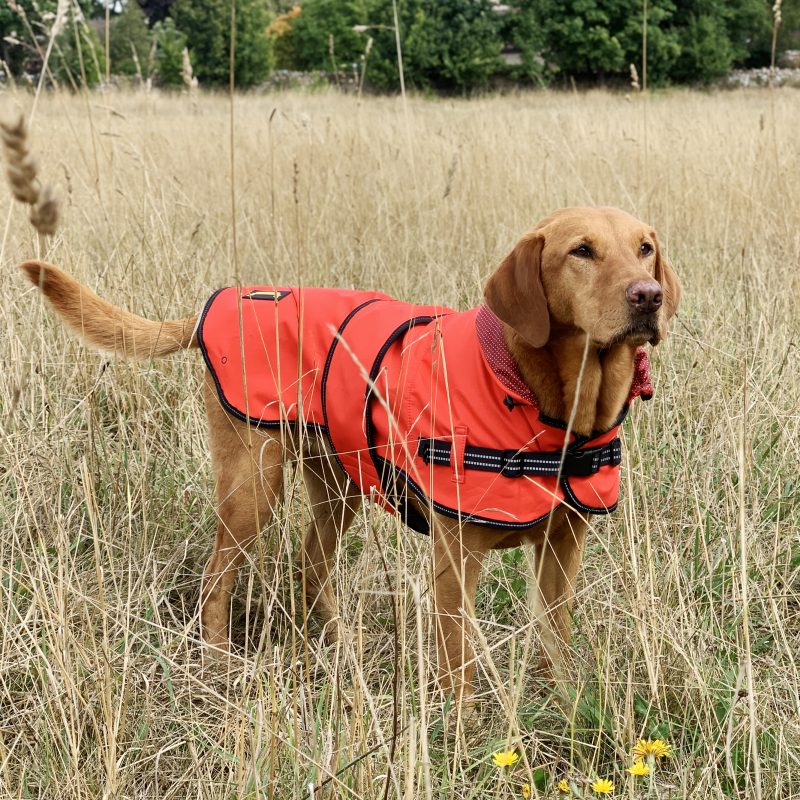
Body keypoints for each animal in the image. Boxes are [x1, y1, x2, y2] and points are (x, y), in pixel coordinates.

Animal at [20, 206, 680, 708]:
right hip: (252, 486)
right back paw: (218, 666)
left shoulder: (563, 548)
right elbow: (458, 662)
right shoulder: (456, 557)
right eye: (581, 251)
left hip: (340, 487)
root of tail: (226, 299)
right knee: (217, 578)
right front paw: (464, 735)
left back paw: (342, 648)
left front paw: (565, 706)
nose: (647, 296)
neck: (546, 406)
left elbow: (555, 641)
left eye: (644, 248)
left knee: (311, 565)